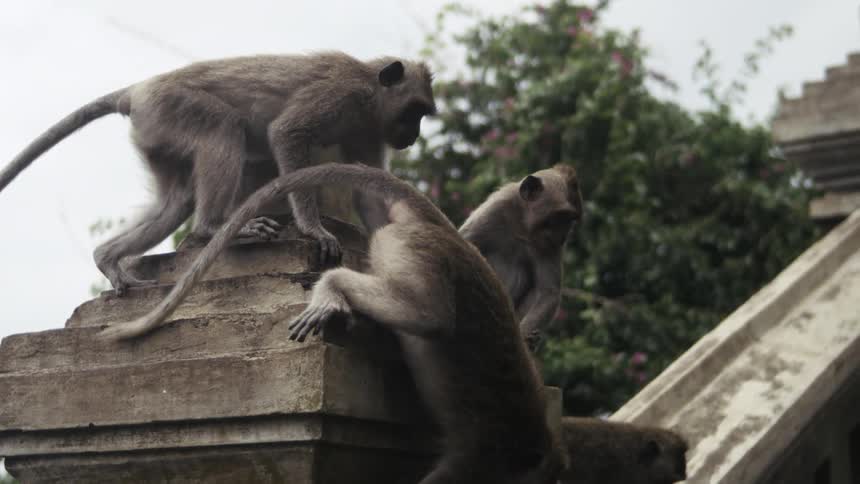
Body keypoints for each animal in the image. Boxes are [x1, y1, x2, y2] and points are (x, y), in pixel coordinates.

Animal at [0, 52, 436, 295]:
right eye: (414, 111)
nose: (413, 135)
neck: (369, 89)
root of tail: (137, 91)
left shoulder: (370, 129)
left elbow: (368, 190)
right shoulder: (340, 95)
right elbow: (287, 133)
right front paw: (313, 229)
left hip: (155, 130)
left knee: (175, 204)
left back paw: (109, 258)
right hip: (172, 107)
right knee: (222, 129)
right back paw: (213, 229)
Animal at [459, 164, 582, 351]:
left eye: (569, 219)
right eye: (560, 217)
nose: (565, 234)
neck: (522, 224)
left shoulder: (549, 245)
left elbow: (547, 293)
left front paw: (525, 339)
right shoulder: (494, 211)